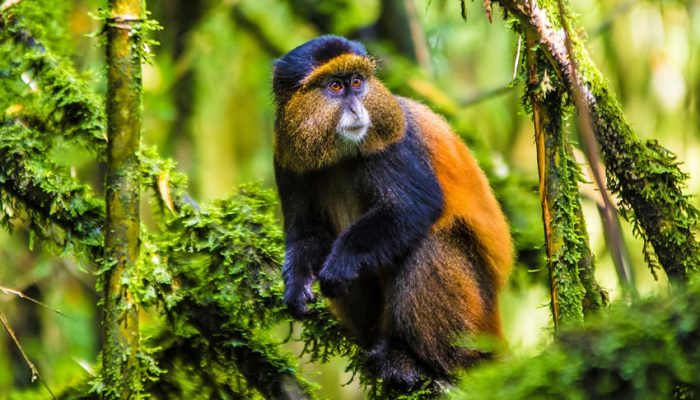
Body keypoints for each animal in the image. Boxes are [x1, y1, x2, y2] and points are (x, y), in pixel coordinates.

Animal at [272, 35, 513, 387]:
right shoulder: (287, 159)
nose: (357, 108)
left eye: (357, 83)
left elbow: (413, 208)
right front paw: (296, 285)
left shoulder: (391, 145)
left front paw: (341, 264)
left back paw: (415, 359)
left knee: (430, 243)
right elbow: (306, 231)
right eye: (335, 86)